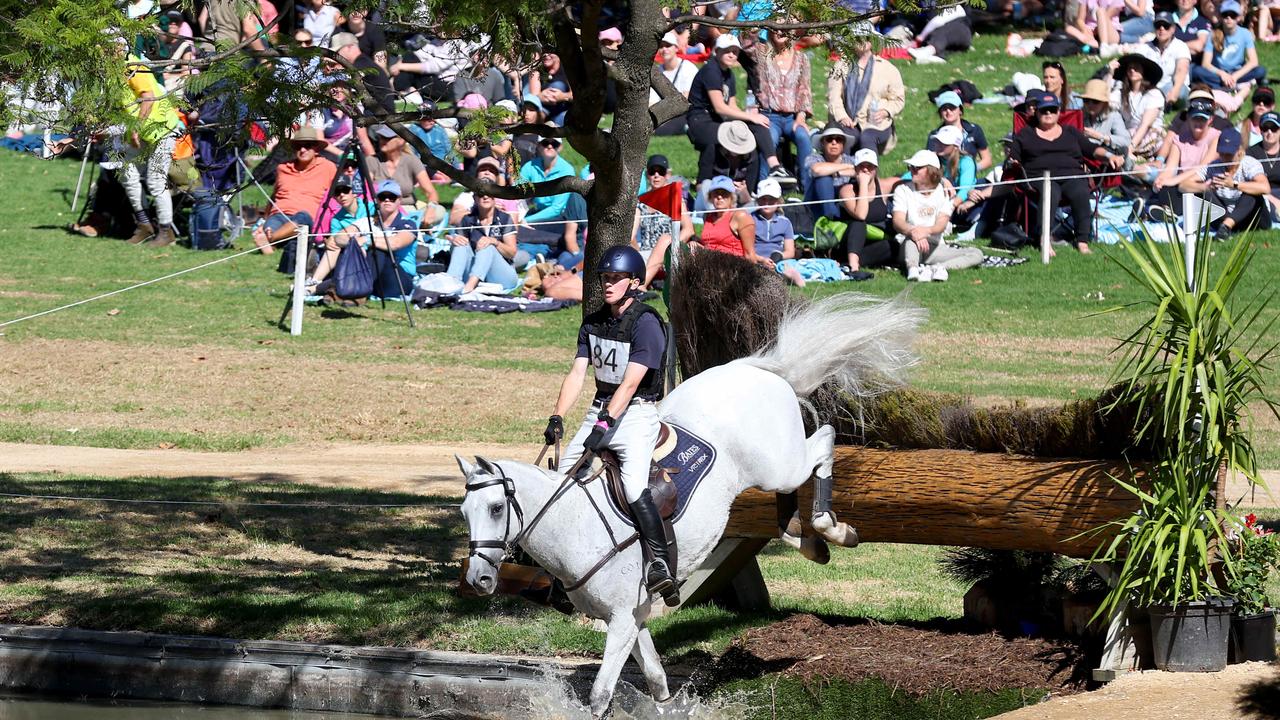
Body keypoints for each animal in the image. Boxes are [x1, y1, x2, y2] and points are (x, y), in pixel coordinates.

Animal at [460, 289, 921, 712]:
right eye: (465, 513)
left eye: (497, 509)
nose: (477, 580)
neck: (575, 527)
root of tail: (750, 368)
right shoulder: (632, 619)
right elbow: (656, 679)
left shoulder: (622, 619)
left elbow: (601, 695)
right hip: (772, 466)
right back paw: (804, 537)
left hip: (780, 463)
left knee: (823, 441)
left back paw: (833, 529)